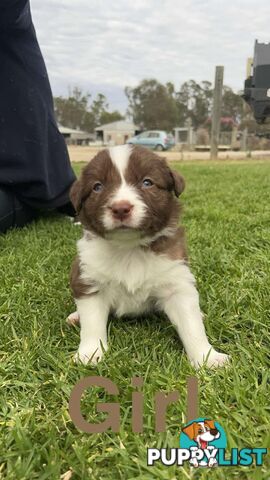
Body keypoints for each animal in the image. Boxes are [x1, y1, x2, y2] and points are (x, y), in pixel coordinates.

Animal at [68, 145, 229, 368]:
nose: (121, 208)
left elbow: (192, 325)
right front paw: (90, 353)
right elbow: (92, 324)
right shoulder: (89, 280)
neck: (129, 248)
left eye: (147, 182)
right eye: (97, 187)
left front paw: (207, 358)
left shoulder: (176, 283)